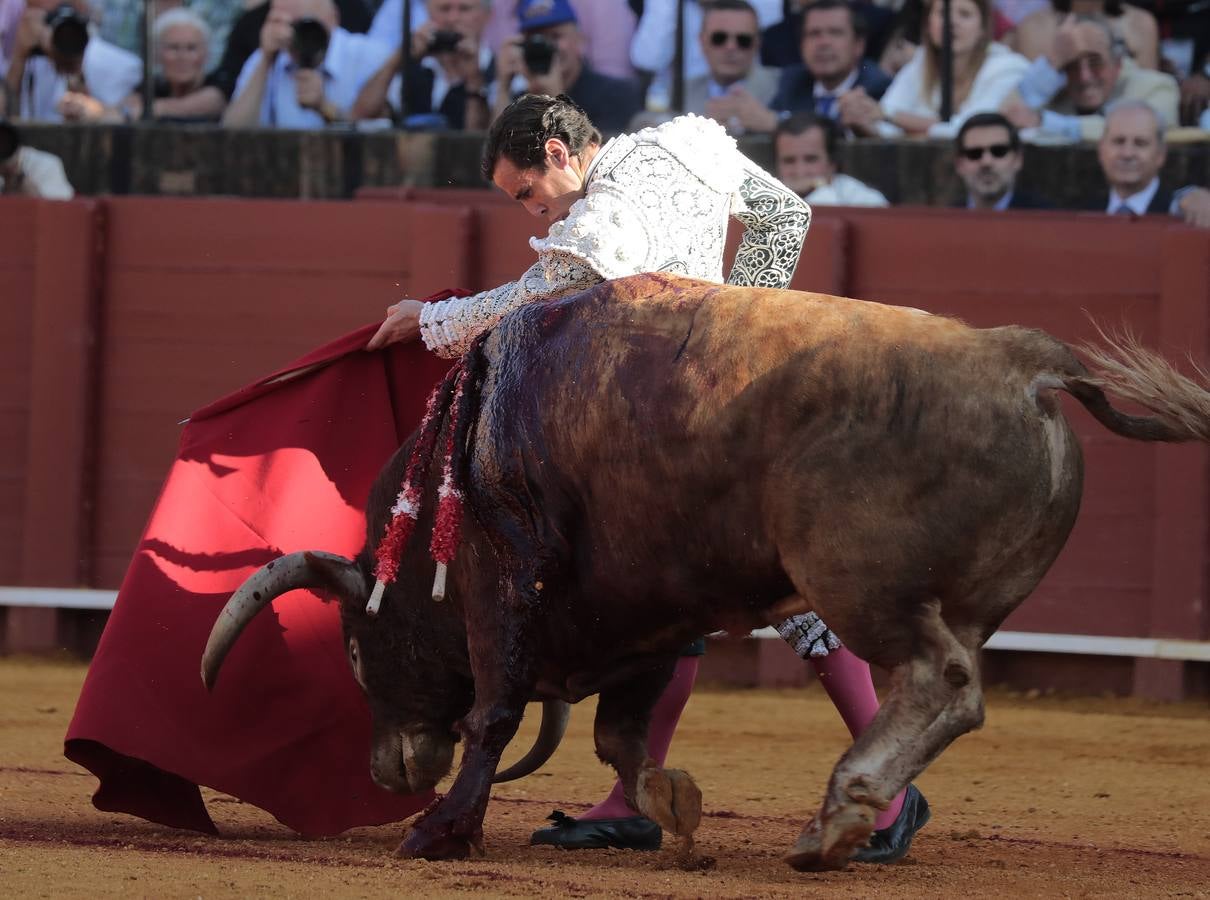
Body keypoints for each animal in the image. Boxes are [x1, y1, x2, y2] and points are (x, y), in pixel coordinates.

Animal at [200, 275, 1210, 870]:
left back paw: (842, 814)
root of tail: (1027, 360)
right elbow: (623, 735)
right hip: (950, 600)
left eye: (357, 653)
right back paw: (848, 822)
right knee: (938, 693)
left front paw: (441, 829)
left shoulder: (503, 587)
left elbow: (496, 713)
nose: (390, 771)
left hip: (864, 585)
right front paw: (670, 809)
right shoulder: (644, 611)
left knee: (941, 682)